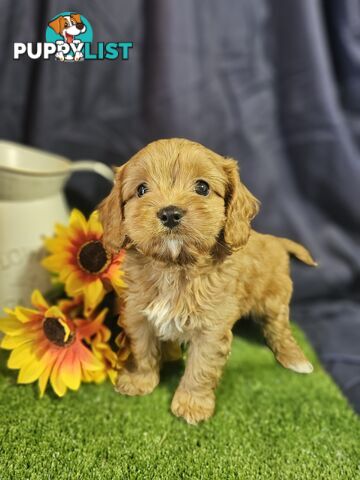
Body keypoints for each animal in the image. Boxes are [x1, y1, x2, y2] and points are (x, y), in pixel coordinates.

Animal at [98, 138, 316, 424]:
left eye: (202, 187)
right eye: (142, 189)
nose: (170, 213)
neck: (175, 267)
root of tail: (276, 241)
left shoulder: (211, 329)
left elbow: (201, 367)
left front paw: (192, 404)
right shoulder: (139, 315)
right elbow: (142, 349)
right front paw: (140, 380)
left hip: (274, 301)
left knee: (280, 330)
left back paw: (294, 359)